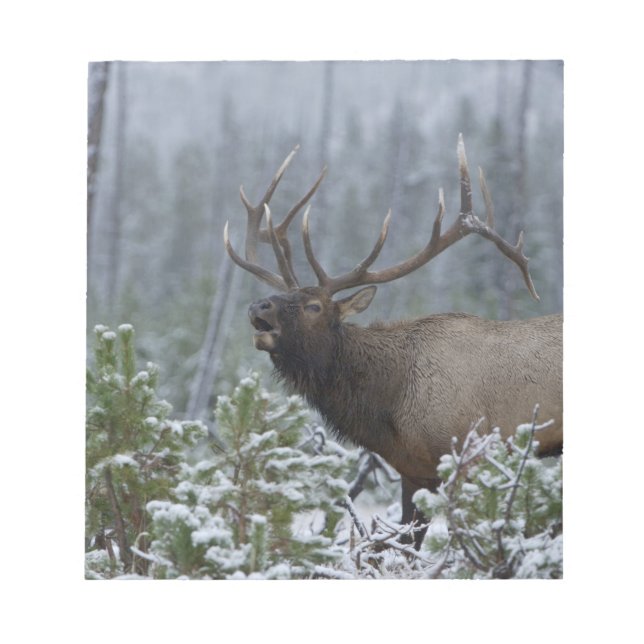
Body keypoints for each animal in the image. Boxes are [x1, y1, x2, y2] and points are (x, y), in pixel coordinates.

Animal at [223, 135, 563, 548]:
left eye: (313, 306)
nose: (258, 306)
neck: (390, 403)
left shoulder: (469, 452)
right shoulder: (414, 469)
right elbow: (406, 542)